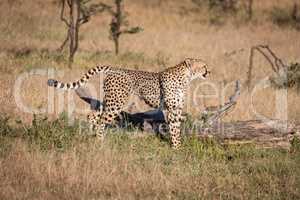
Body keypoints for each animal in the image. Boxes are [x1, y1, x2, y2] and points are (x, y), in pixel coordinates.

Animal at [48, 57, 210, 148]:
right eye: (203, 66)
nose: (209, 72)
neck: (187, 76)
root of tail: (114, 68)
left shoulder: (176, 109)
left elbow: (176, 127)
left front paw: (178, 146)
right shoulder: (171, 110)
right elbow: (174, 129)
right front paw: (176, 147)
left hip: (111, 101)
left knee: (93, 115)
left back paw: (90, 134)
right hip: (116, 102)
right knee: (101, 120)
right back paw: (100, 142)